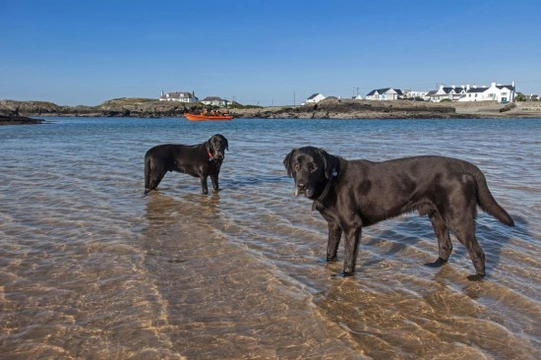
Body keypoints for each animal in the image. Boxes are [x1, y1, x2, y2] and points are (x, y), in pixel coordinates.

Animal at [282, 147, 516, 282]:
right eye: (296, 165)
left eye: (314, 167)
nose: (301, 186)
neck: (331, 180)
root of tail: (464, 166)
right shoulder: (334, 226)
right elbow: (330, 251)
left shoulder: (352, 226)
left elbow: (349, 258)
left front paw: (345, 275)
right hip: (437, 216)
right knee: (446, 245)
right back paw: (437, 263)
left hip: (458, 217)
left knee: (477, 252)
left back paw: (478, 277)